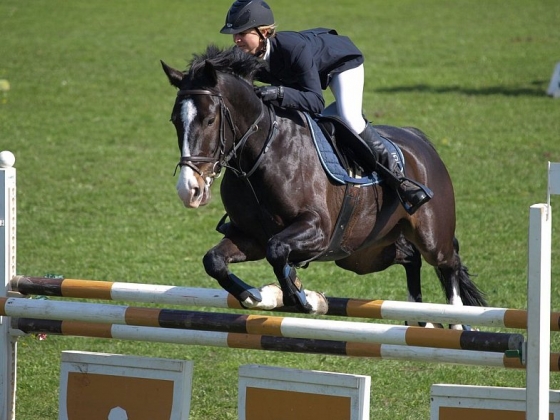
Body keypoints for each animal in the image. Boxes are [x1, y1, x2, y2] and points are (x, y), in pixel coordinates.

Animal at [161, 46, 486, 328]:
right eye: (175, 121)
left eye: (209, 120)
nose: (189, 190)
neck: (261, 154)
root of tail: (419, 140)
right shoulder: (249, 237)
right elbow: (215, 260)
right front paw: (255, 296)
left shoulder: (318, 230)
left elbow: (277, 250)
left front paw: (301, 298)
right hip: (363, 254)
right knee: (410, 257)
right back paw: (421, 318)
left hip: (430, 236)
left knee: (448, 262)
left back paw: (456, 323)